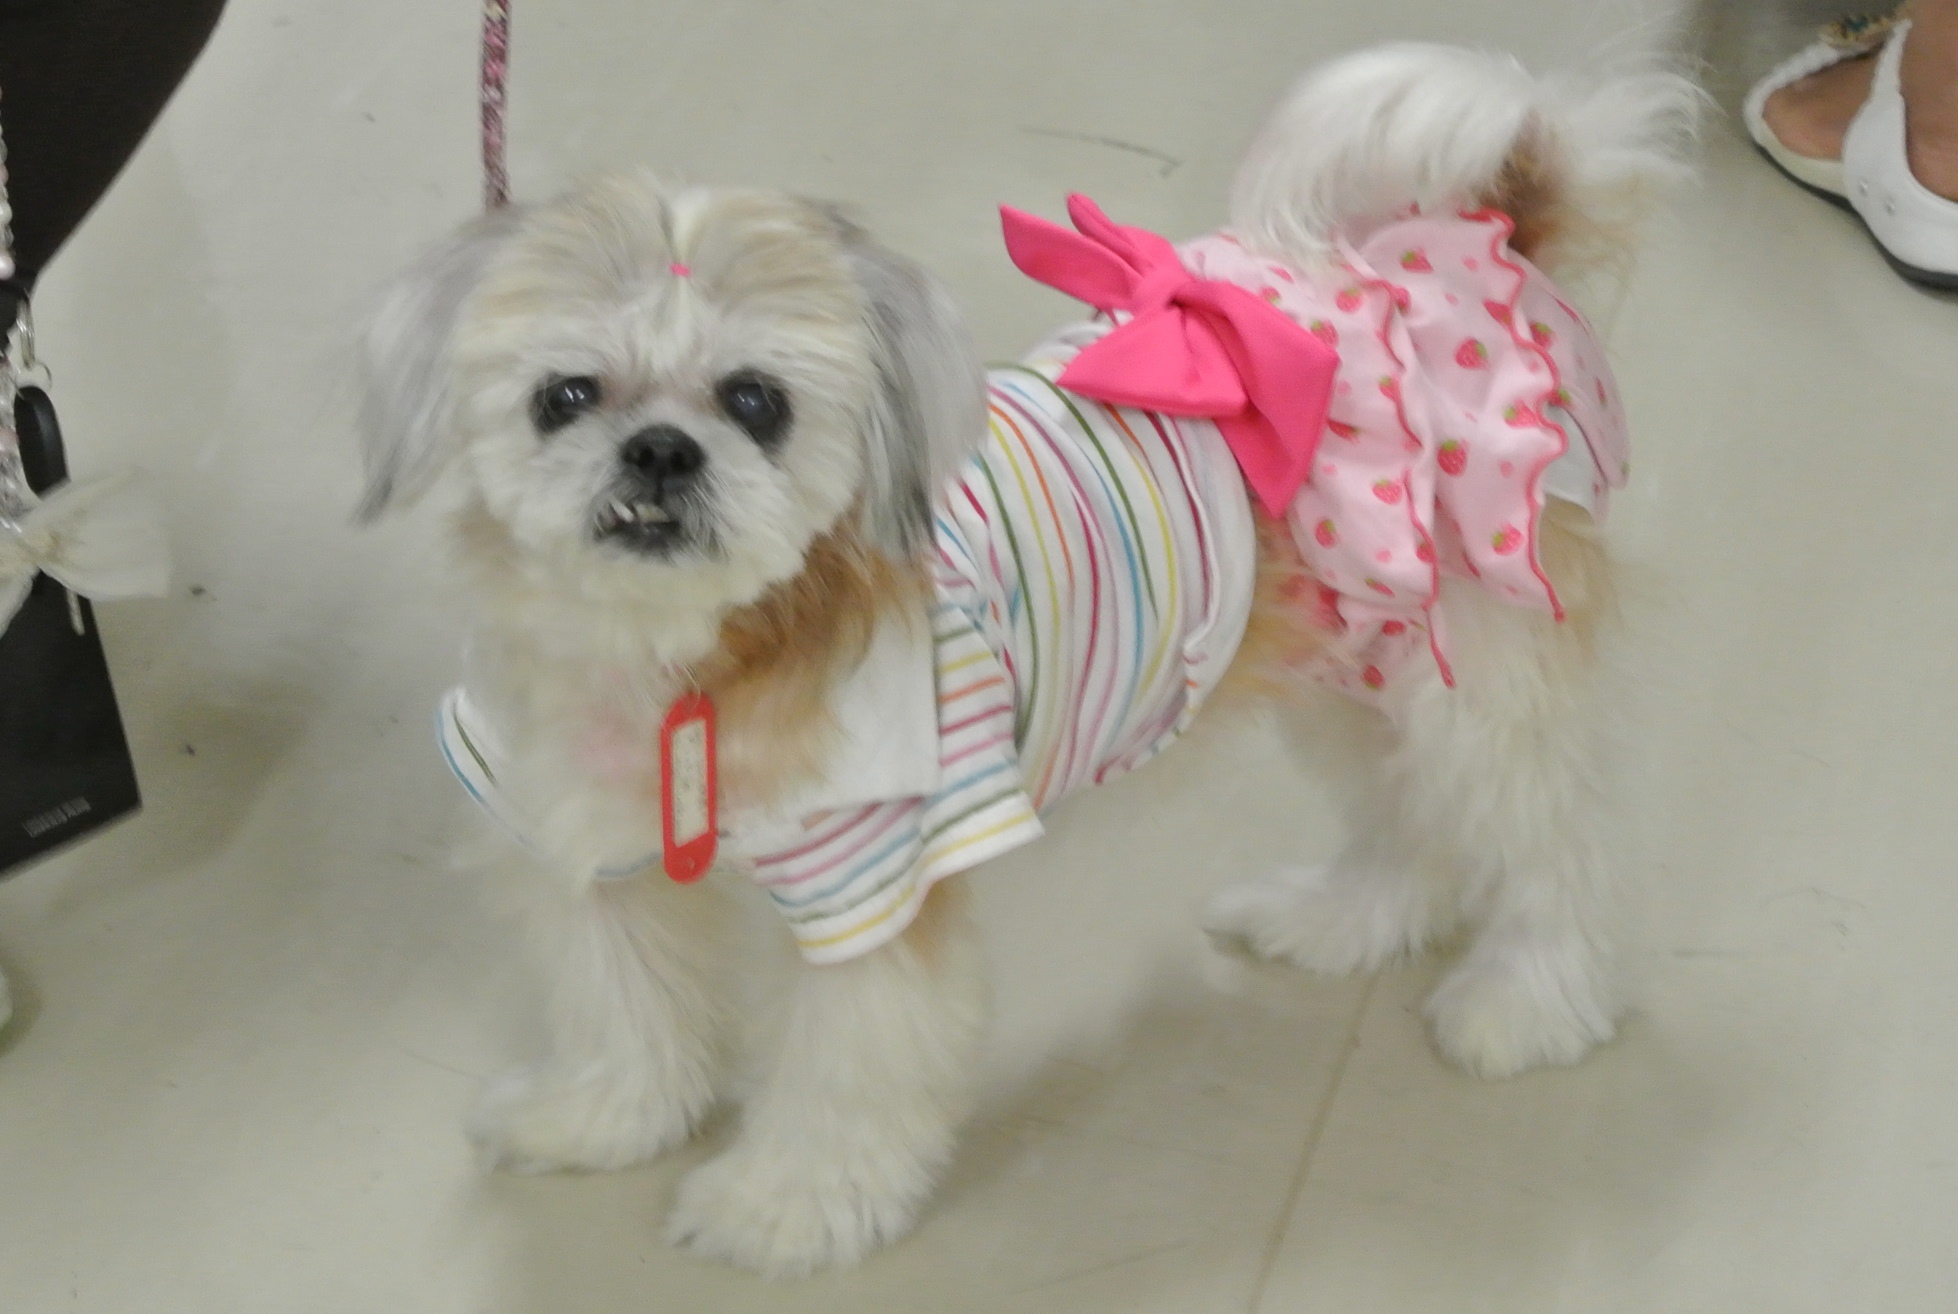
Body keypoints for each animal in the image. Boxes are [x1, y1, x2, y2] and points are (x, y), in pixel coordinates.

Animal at [357, 43, 1696, 1275]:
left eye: (754, 402)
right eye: (562, 395)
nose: (659, 453)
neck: (684, 660)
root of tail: (1480, 244)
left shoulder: (872, 886)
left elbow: (846, 1076)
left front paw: (782, 1207)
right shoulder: (583, 849)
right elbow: (623, 1011)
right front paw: (600, 1119)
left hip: (1474, 675)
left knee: (1551, 846)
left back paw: (1529, 1003)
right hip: (1351, 665)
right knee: (1407, 821)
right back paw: (1339, 921)